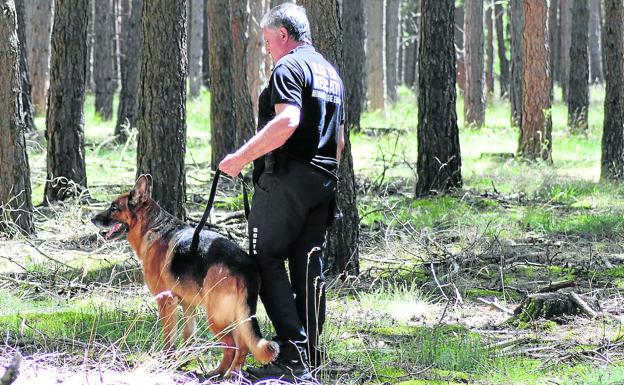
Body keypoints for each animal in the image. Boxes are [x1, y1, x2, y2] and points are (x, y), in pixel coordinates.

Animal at [90, 176, 278, 376]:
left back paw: (224, 374)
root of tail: (245, 264)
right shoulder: (188, 305)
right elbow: (188, 336)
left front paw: (167, 362)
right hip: (236, 316)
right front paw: (185, 361)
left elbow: (169, 339)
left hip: (216, 317)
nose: (92, 219)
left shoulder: (165, 302)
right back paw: (228, 372)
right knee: (242, 345)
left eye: (114, 207)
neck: (152, 227)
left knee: (232, 346)